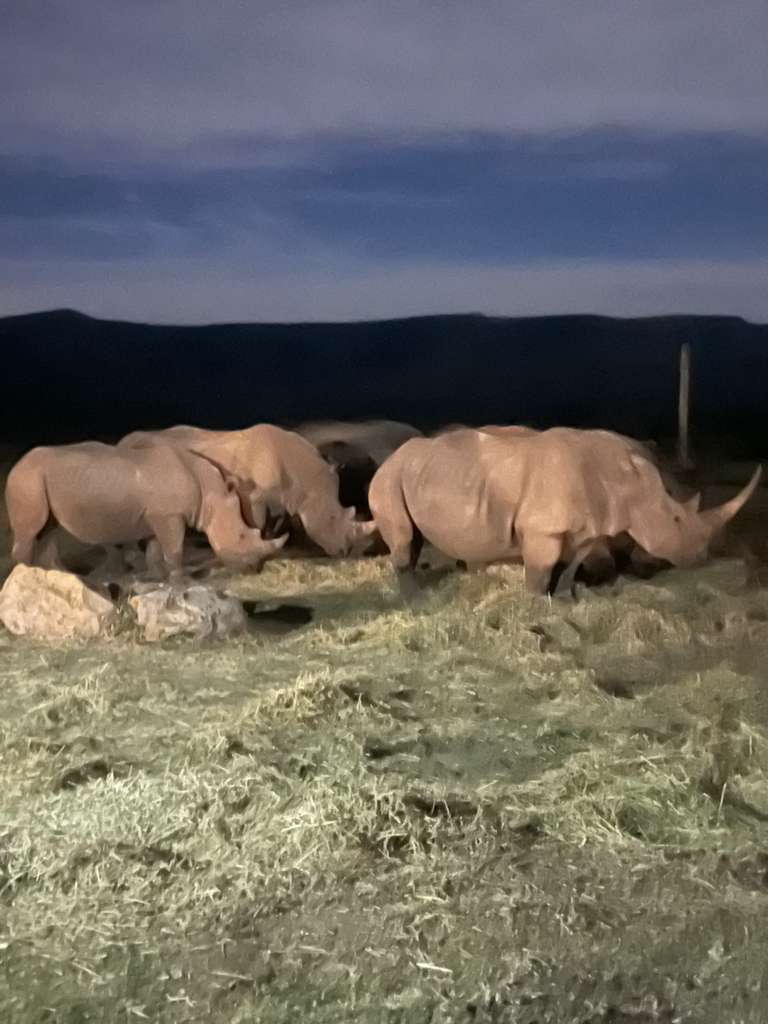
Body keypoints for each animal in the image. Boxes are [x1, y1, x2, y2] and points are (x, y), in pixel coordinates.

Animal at [5, 441, 288, 579]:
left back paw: (56, 575)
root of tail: (15, 466)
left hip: (36, 479)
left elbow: (154, 550)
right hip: (27, 480)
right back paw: (26, 575)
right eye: (241, 536)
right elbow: (174, 549)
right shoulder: (170, 516)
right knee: (32, 530)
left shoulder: (157, 516)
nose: (254, 569)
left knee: (48, 529)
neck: (211, 493)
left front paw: (157, 578)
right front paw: (181, 580)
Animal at [119, 424, 377, 557]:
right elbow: (259, 522)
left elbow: (276, 522)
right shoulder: (254, 496)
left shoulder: (282, 498)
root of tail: (122, 442)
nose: (344, 552)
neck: (305, 480)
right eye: (332, 518)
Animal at [368, 427, 761, 597]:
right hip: (388, 479)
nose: (701, 557)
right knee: (403, 538)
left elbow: (573, 564)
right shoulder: (542, 529)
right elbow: (540, 571)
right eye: (677, 519)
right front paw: (535, 604)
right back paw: (415, 599)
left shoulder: (592, 527)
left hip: (414, 474)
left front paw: (566, 597)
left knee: (414, 538)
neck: (627, 480)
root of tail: (388, 457)